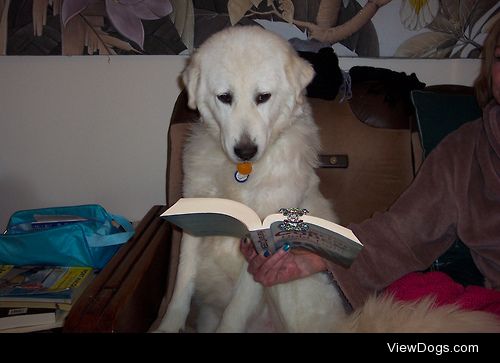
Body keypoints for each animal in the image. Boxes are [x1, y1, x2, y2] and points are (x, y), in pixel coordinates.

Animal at [156, 25, 348, 332]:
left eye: (263, 97)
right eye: (225, 97)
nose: (245, 150)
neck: (242, 174)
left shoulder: (263, 248)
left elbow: (235, 312)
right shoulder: (194, 226)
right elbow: (181, 287)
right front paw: (167, 327)